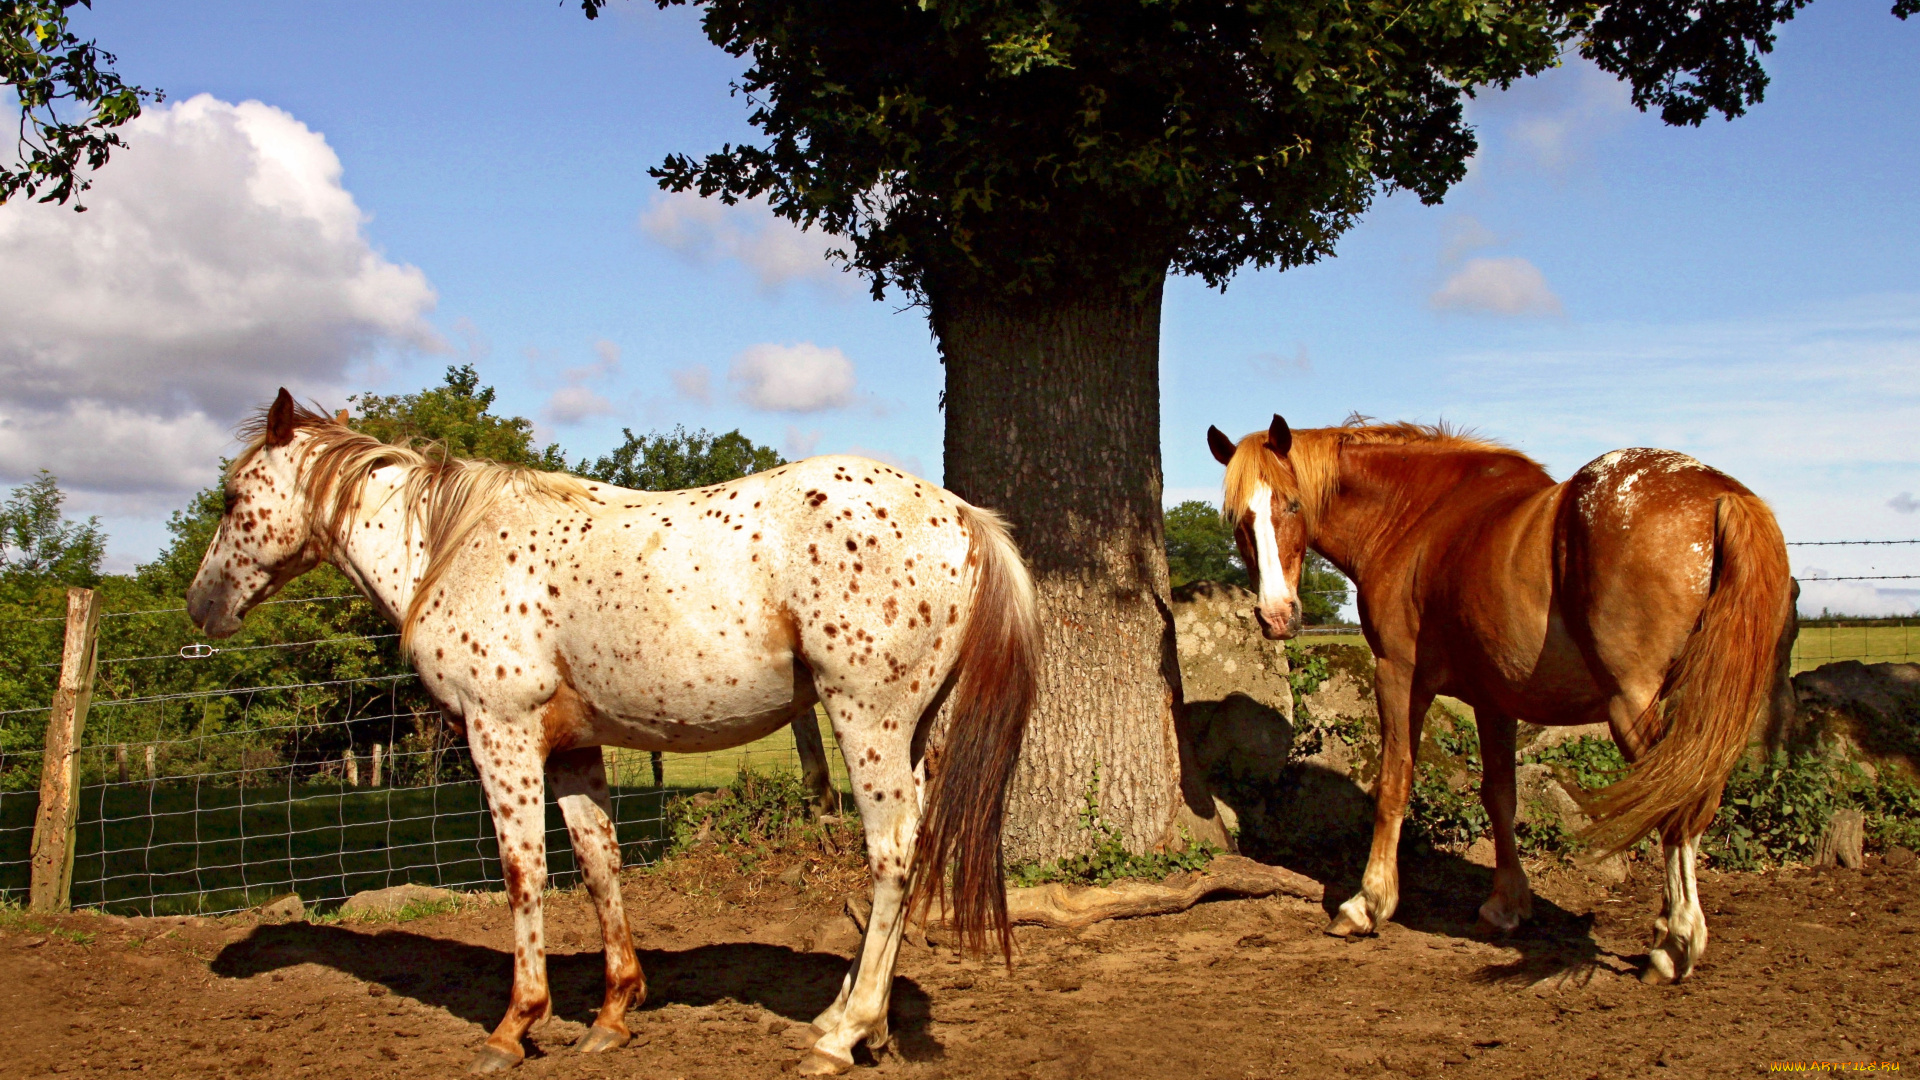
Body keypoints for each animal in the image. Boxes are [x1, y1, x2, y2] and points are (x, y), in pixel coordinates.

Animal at [187, 390, 1044, 1068]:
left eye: (232, 499)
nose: (202, 606)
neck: (452, 547)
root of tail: (964, 517)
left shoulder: (500, 736)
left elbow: (523, 874)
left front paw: (513, 1028)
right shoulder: (572, 749)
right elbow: (600, 866)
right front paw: (611, 1013)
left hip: (866, 720)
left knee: (891, 855)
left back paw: (839, 1037)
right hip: (910, 731)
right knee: (912, 851)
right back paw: (865, 1024)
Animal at [1205, 413, 1789, 983]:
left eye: (1292, 504)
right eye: (1237, 519)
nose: (1276, 616)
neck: (1416, 517)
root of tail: (1721, 495)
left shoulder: (1399, 676)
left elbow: (1394, 784)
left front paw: (1367, 904)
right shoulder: (1494, 699)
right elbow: (1500, 797)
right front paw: (1506, 906)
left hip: (1634, 706)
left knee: (1677, 806)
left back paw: (1675, 945)